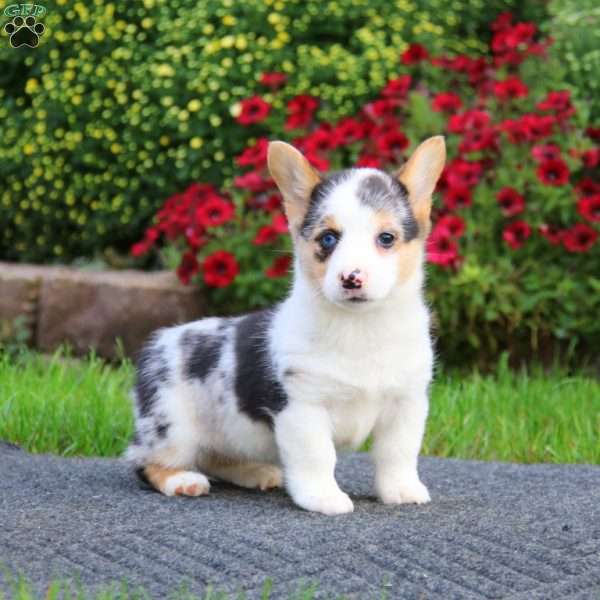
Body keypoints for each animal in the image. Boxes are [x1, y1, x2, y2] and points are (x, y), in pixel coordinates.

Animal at [126, 136, 446, 516]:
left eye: (386, 238)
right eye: (327, 239)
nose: (351, 278)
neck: (360, 327)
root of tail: (158, 342)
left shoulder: (407, 402)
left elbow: (398, 452)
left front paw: (401, 490)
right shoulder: (301, 406)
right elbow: (318, 456)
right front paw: (323, 497)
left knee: (218, 458)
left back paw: (257, 472)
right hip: (173, 427)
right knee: (145, 462)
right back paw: (182, 480)